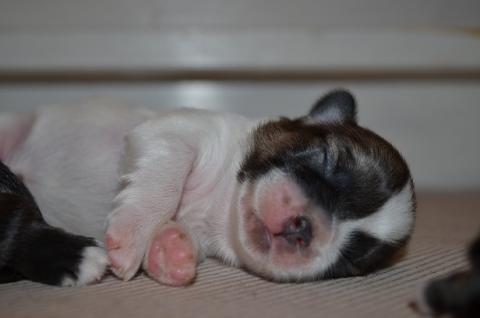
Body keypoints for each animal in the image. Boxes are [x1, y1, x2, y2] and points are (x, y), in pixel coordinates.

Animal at [0, 89, 412, 286]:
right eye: (328, 160)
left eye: (353, 256)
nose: (303, 228)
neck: (220, 203)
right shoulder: (174, 133)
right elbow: (167, 175)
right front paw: (132, 235)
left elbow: (180, 237)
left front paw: (172, 251)